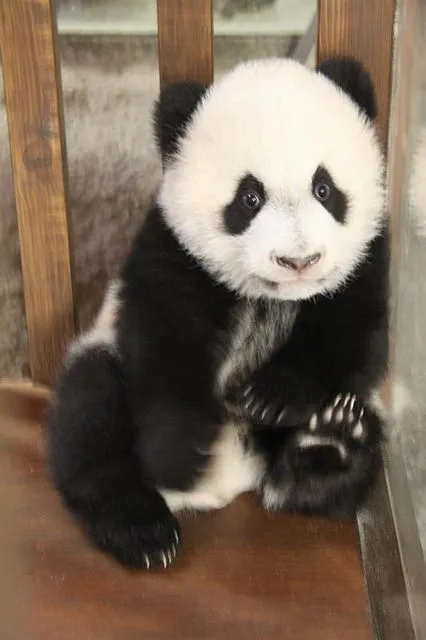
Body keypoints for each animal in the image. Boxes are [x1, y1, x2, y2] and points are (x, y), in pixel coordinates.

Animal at [46, 55, 389, 571]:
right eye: (250, 197)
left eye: (324, 188)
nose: (299, 261)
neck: (272, 296)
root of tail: (232, 480)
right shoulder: (173, 255)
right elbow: (164, 346)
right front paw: (177, 456)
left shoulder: (363, 262)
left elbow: (352, 334)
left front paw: (275, 396)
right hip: (101, 353)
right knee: (90, 416)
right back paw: (142, 530)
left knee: (336, 458)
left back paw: (331, 446)